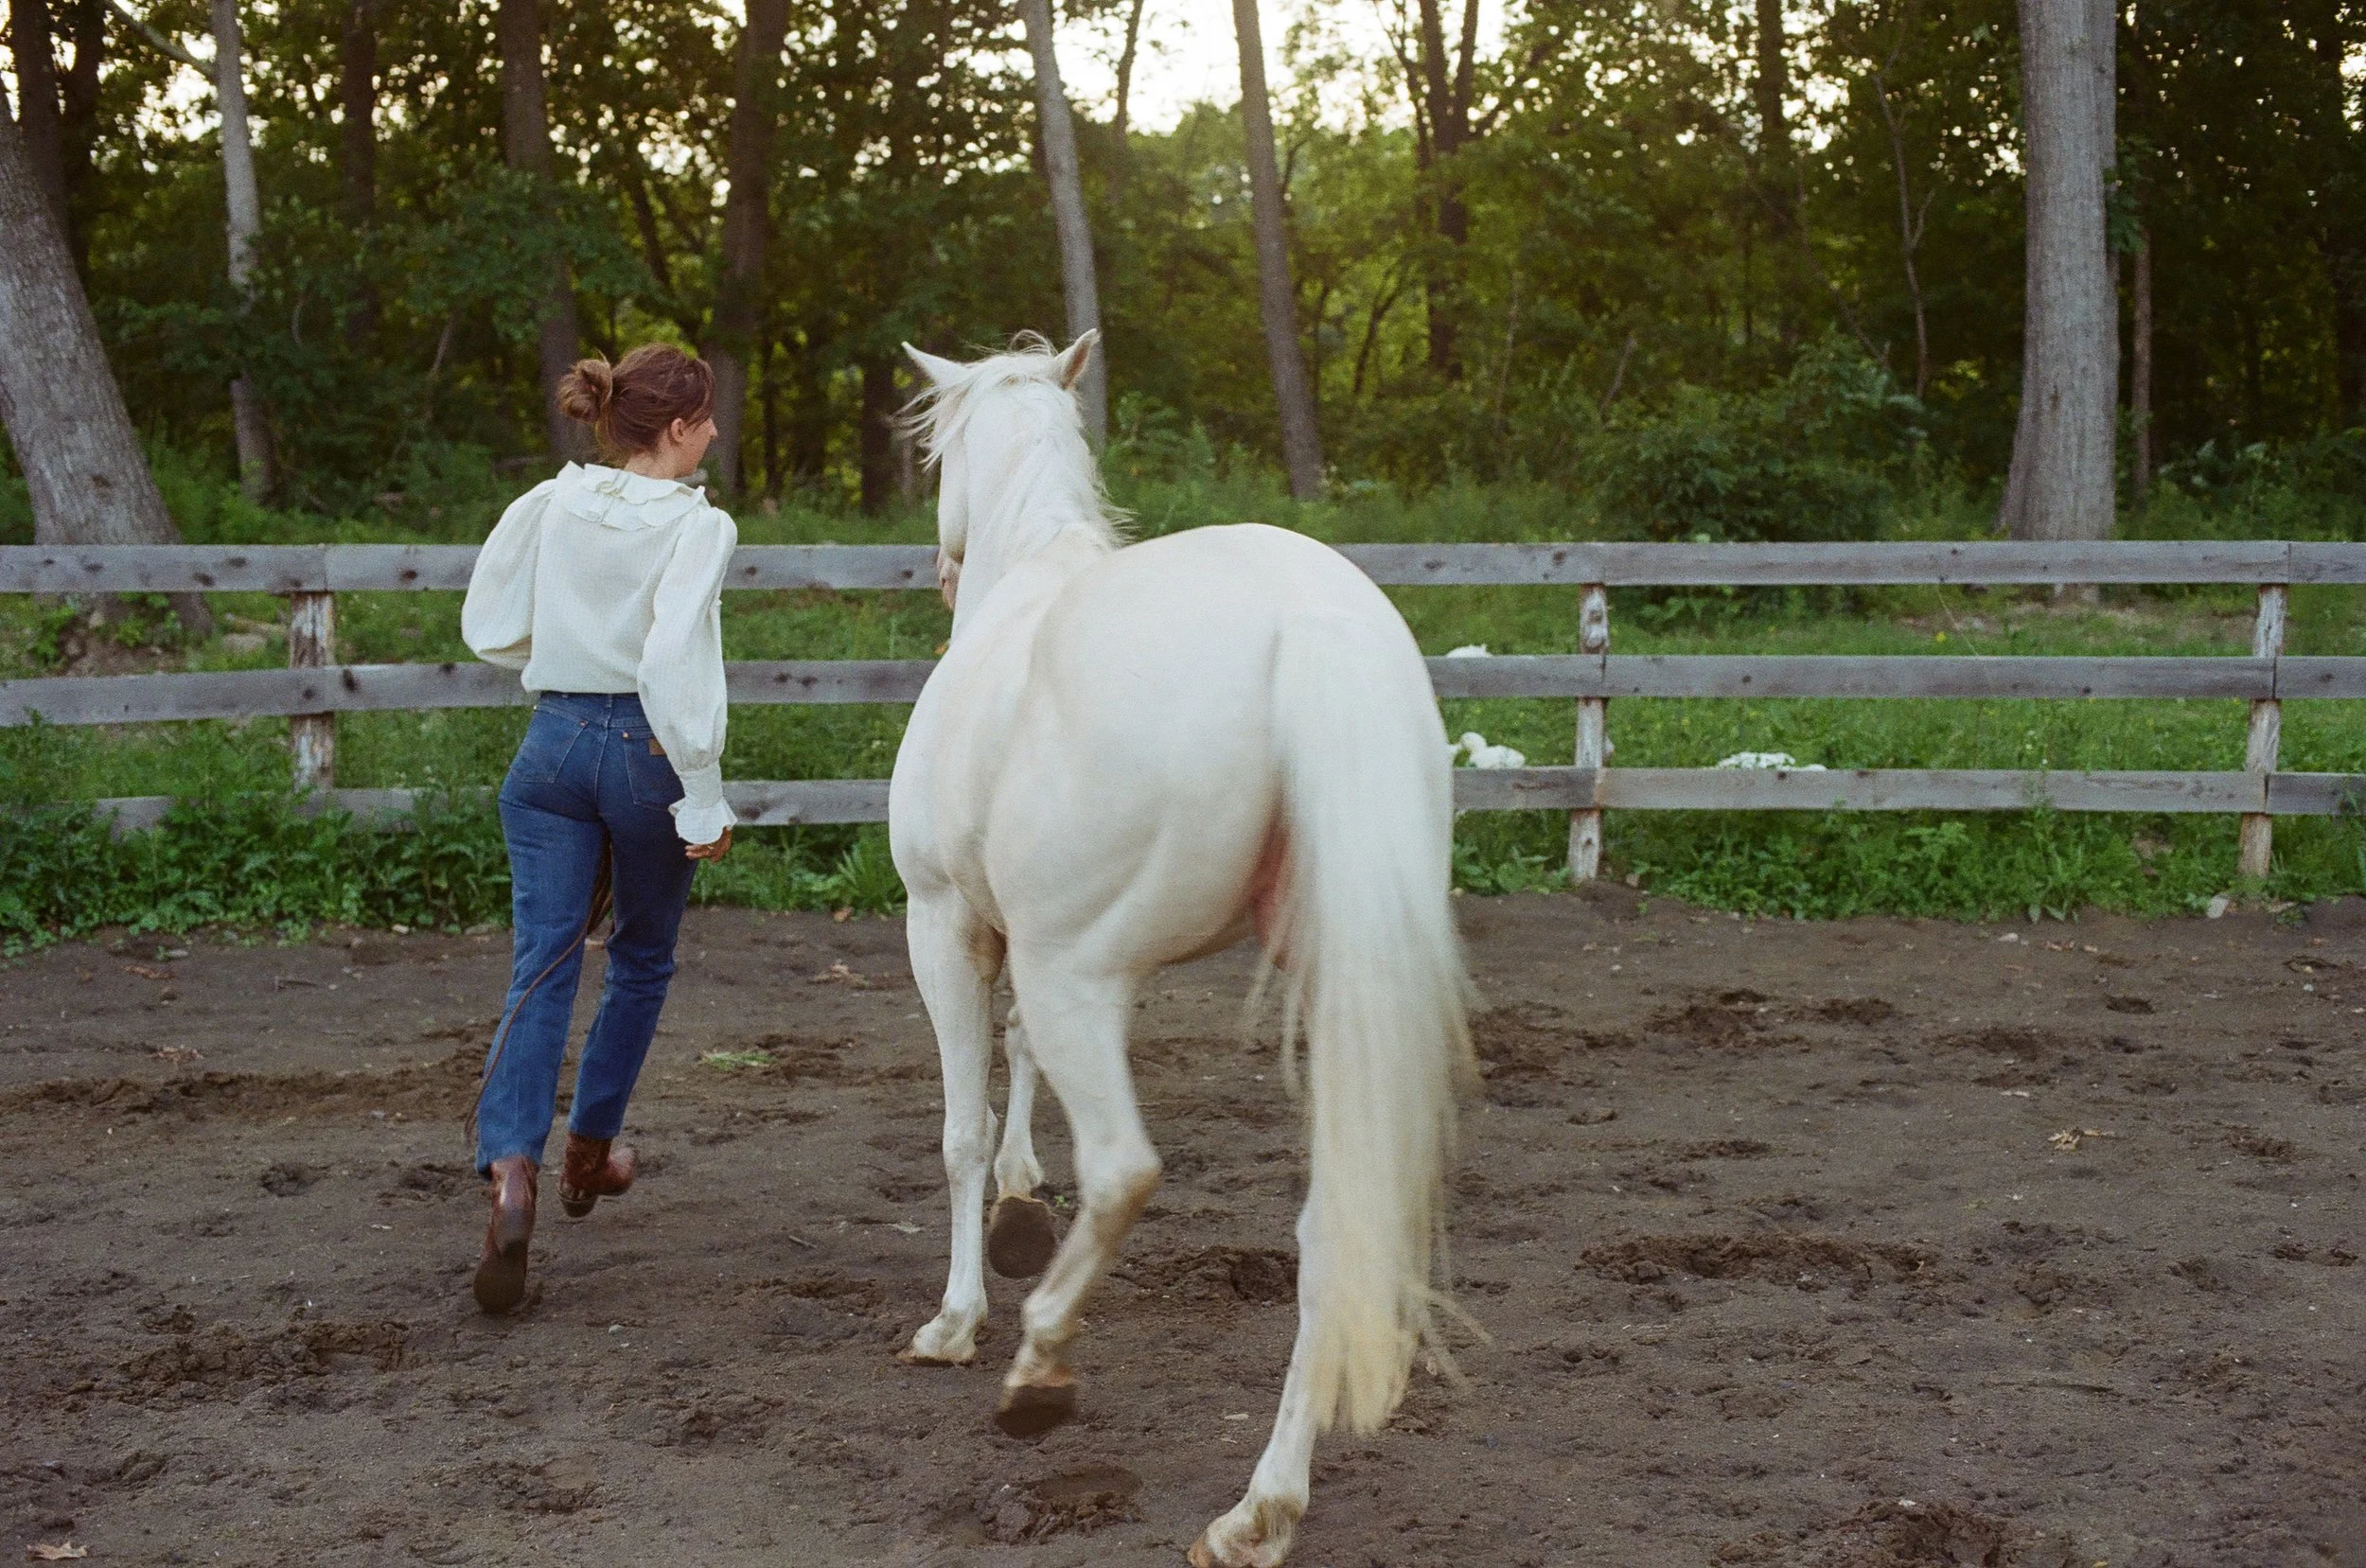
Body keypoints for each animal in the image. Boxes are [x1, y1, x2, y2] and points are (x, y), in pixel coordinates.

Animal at [887, 331, 1473, 1568]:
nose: (941, 571)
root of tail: (1307, 625)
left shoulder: (945, 922)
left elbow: (963, 1130)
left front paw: (958, 1317)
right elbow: (1015, 1074)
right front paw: (1022, 1207)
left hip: (1074, 971)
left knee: (1125, 1168)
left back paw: (1039, 1367)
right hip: (1324, 992)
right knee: (1327, 1232)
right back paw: (1258, 1511)